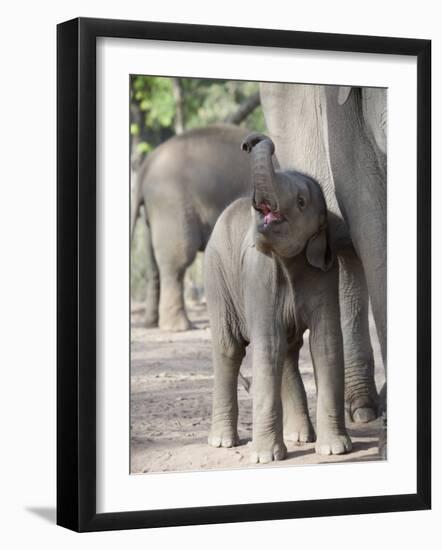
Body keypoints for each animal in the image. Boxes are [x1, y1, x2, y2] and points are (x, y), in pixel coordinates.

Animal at [129, 125, 250, 332]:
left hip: (153, 214)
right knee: (178, 261)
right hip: (171, 204)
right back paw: (178, 327)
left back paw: (150, 323)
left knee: (154, 263)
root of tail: (146, 166)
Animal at [205, 135, 352, 466]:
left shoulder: (325, 274)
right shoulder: (258, 276)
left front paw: (336, 449)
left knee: (287, 349)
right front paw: (264, 458)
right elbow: (267, 343)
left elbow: (325, 342)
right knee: (229, 349)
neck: (289, 262)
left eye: (300, 202)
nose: (251, 141)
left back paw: (300, 436)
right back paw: (223, 442)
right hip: (217, 277)